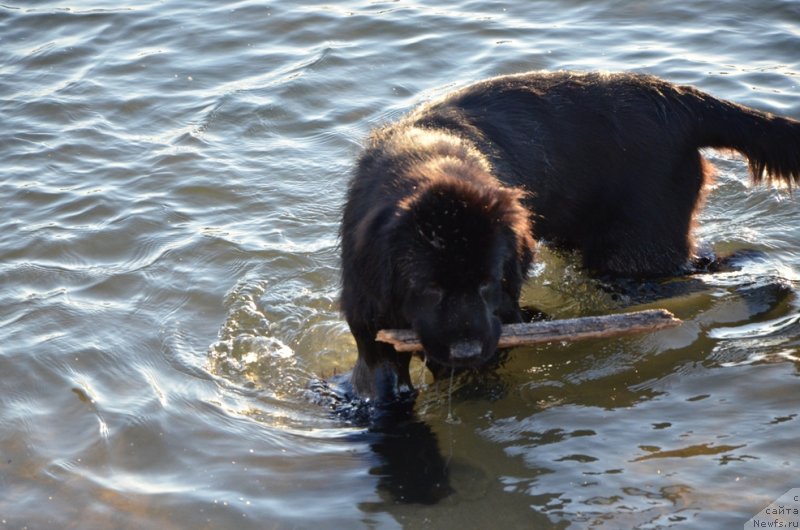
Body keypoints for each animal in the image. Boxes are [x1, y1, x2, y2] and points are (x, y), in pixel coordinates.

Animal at [340, 71, 800, 400]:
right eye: (429, 289)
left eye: (488, 283)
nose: (467, 352)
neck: (428, 160)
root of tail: (678, 99)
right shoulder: (370, 314)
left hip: (633, 253)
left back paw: (766, 286)